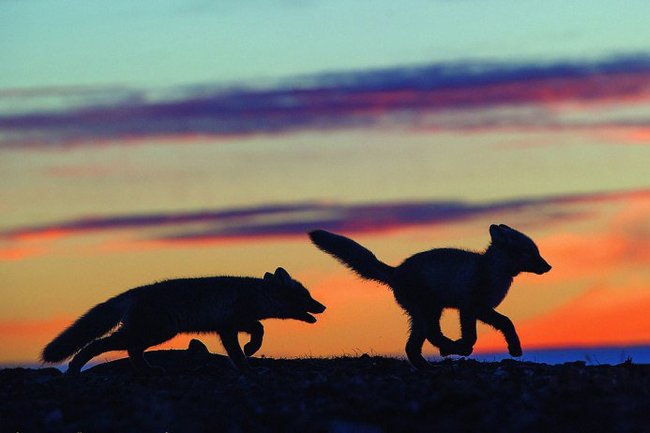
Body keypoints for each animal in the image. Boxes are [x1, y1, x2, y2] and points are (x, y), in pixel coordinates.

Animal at [41, 264, 324, 372]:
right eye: (307, 296)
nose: (323, 307)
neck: (256, 293)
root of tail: (136, 291)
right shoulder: (235, 323)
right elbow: (259, 329)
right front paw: (251, 352)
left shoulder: (226, 329)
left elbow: (236, 352)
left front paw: (245, 365)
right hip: (153, 332)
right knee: (98, 345)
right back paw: (75, 367)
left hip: (155, 334)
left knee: (133, 351)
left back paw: (148, 369)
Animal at [308, 224, 548, 370]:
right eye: (532, 252)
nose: (549, 267)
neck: (494, 271)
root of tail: (396, 271)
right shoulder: (471, 307)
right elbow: (488, 330)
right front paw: (509, 348)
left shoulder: (478, 309)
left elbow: (496, 326)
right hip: (428, 312)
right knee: (430, 337)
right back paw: (448, 348)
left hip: (424, 315)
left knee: (414, 346)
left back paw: (429, 363)